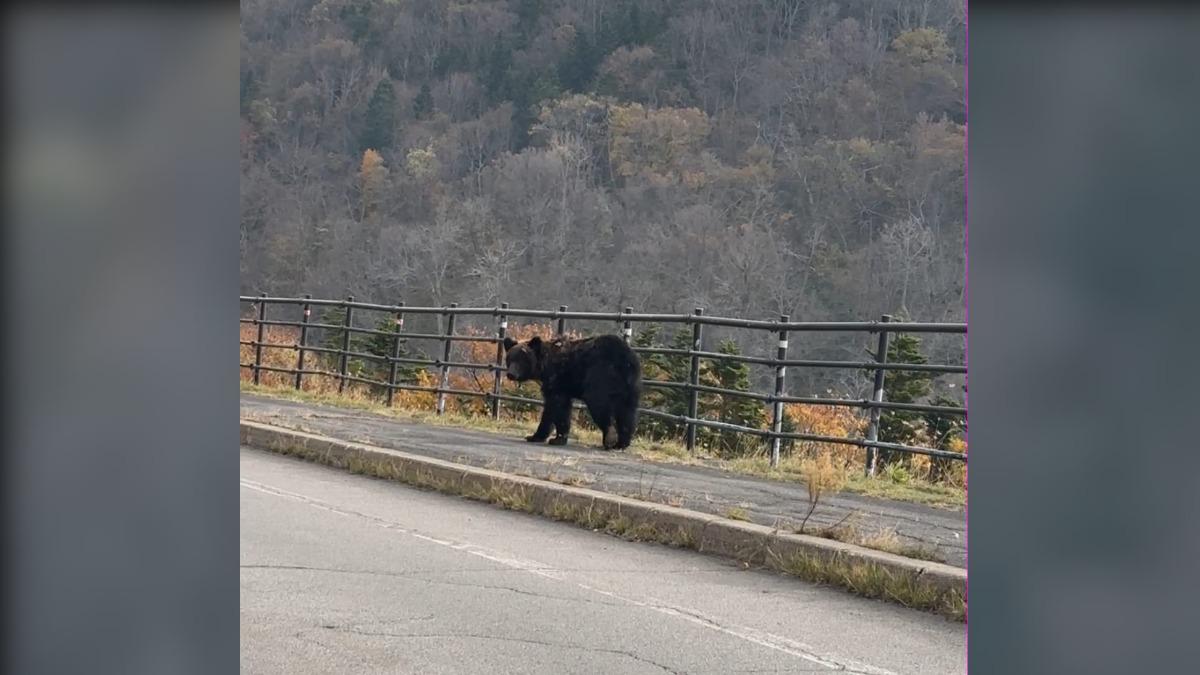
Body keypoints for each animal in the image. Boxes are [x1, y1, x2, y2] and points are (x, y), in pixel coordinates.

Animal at [502, 333, 641, 450]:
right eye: (510, 358)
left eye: (521, 359)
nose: (511, 374)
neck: (543, 367)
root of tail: (624, 356)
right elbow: (550, 409)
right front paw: (535, 436)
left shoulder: (557, 379)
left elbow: (559, 406)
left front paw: (556, 439)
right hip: (630, 385)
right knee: (627, 412)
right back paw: (622, 443)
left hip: (600, 376)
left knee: (599, 404)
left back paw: (610, 438)